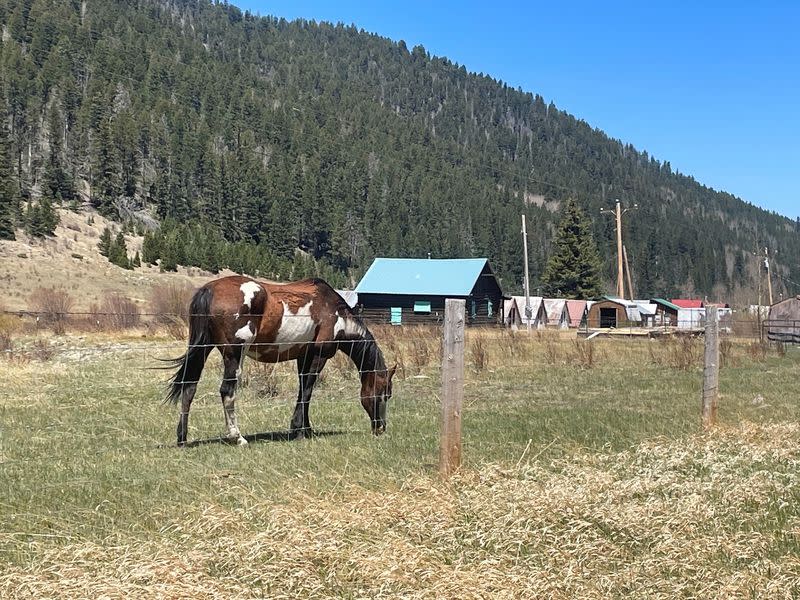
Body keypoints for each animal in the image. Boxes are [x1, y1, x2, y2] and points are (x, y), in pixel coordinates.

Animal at [166, 276, 396, 446]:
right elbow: (307, 390)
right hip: (234, 355)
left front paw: (305, 428)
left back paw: (182, 438)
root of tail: (209, 289)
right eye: (383, 394)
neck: (335, 313)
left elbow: (304, 390)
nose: (381, 427)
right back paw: (237, 437)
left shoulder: (304, 357)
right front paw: (299, 430)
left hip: (202, 350)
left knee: (189, 386)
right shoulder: (319, 357)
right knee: (227, 391)